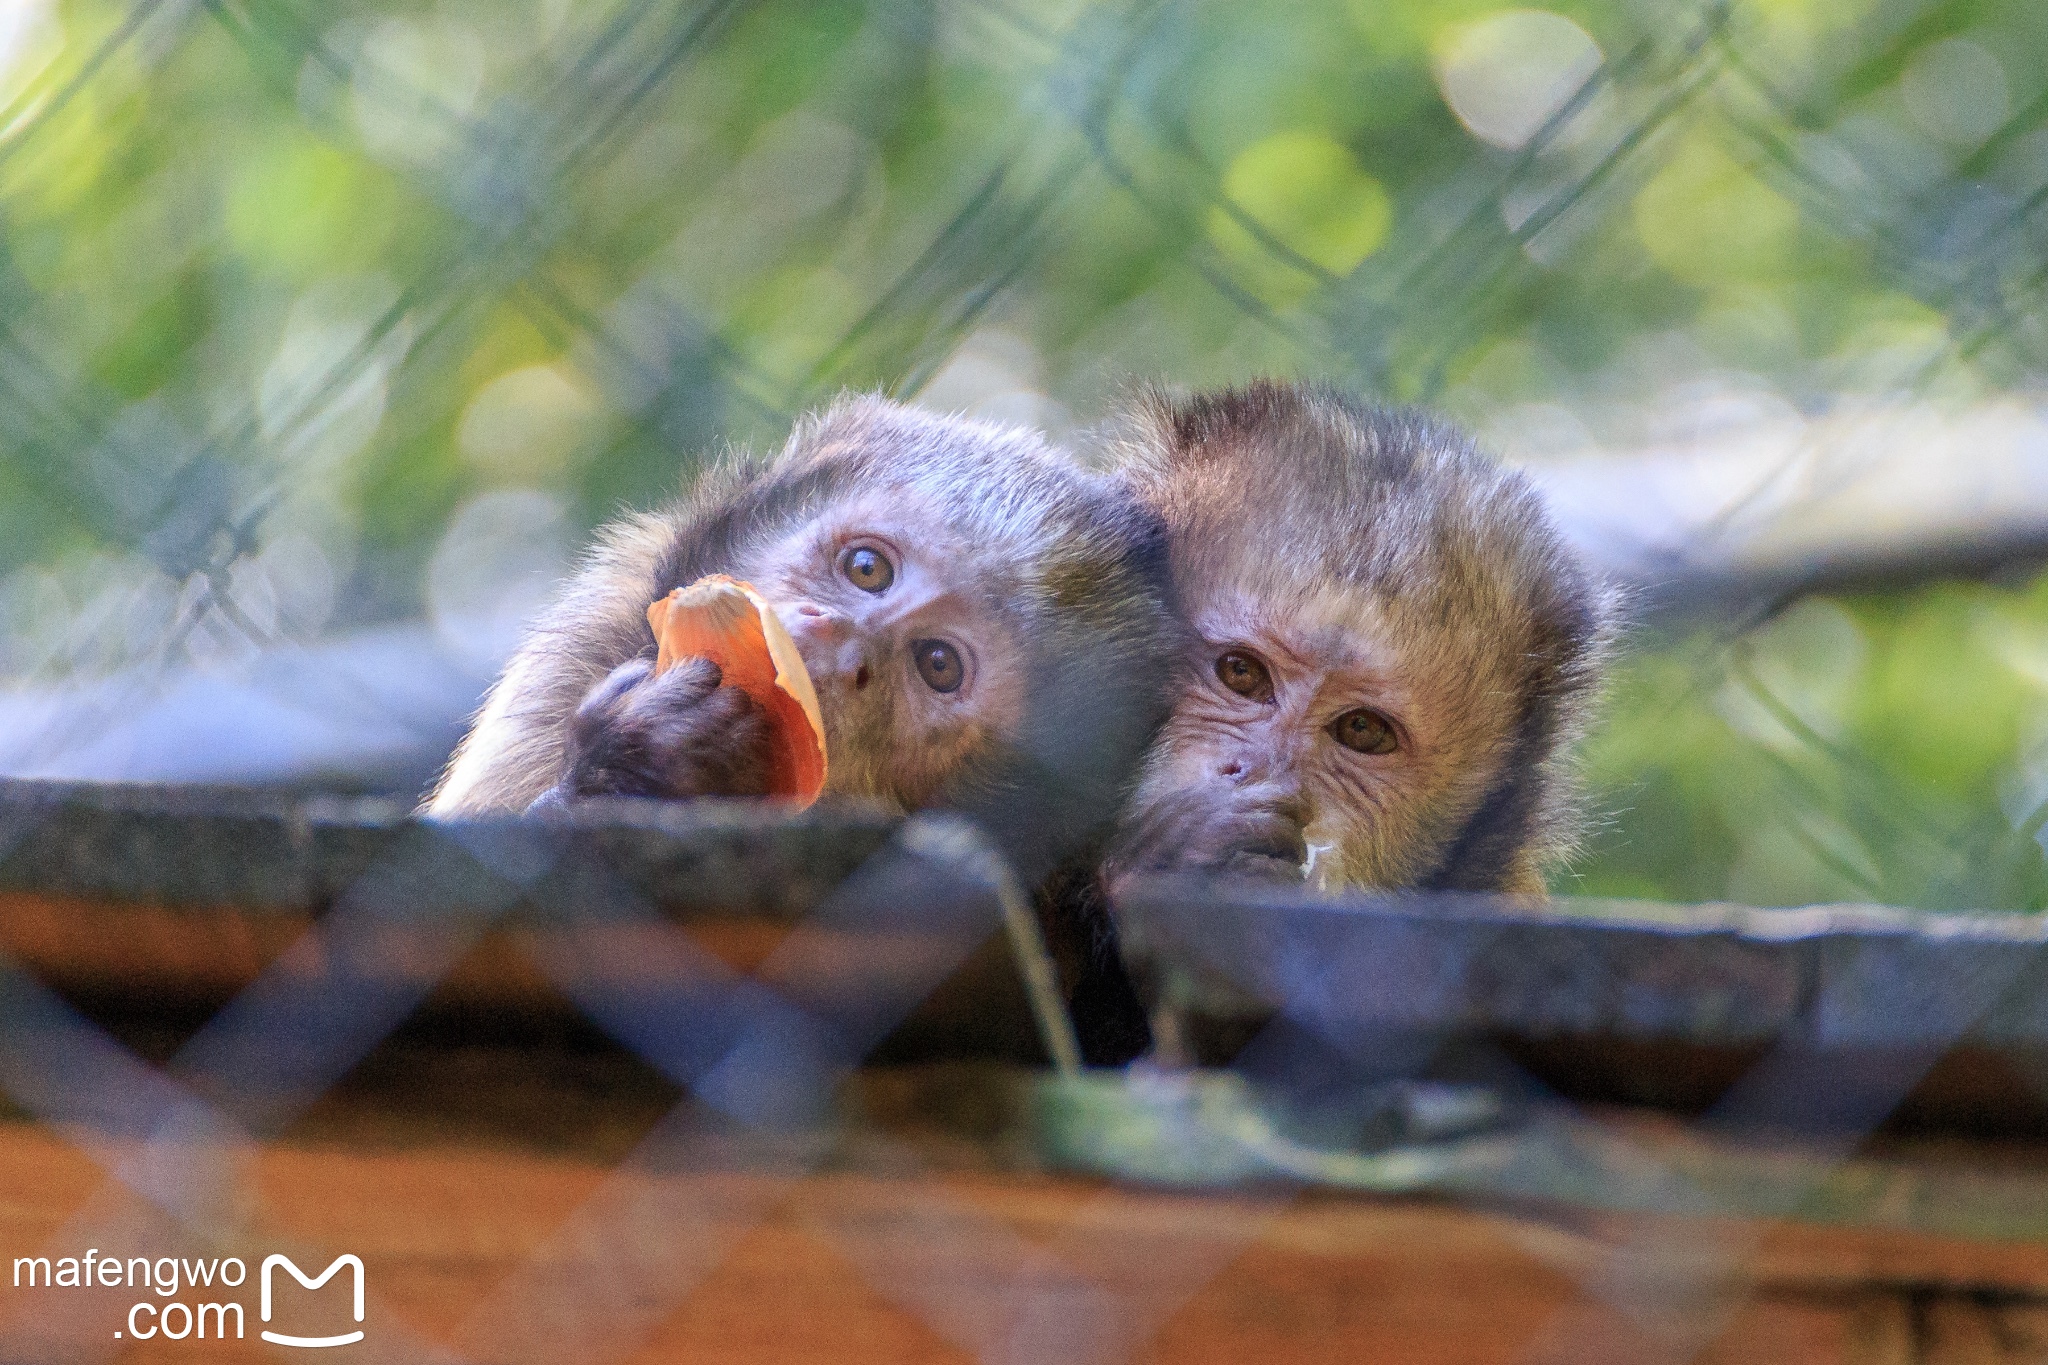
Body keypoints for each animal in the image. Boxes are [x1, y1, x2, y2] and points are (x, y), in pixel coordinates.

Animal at [423, 394, 1179, 888]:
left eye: (938, 663)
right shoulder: (578, 650)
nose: (838, 639)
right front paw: (639, 757)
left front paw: (647, 763)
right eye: (867, 568)